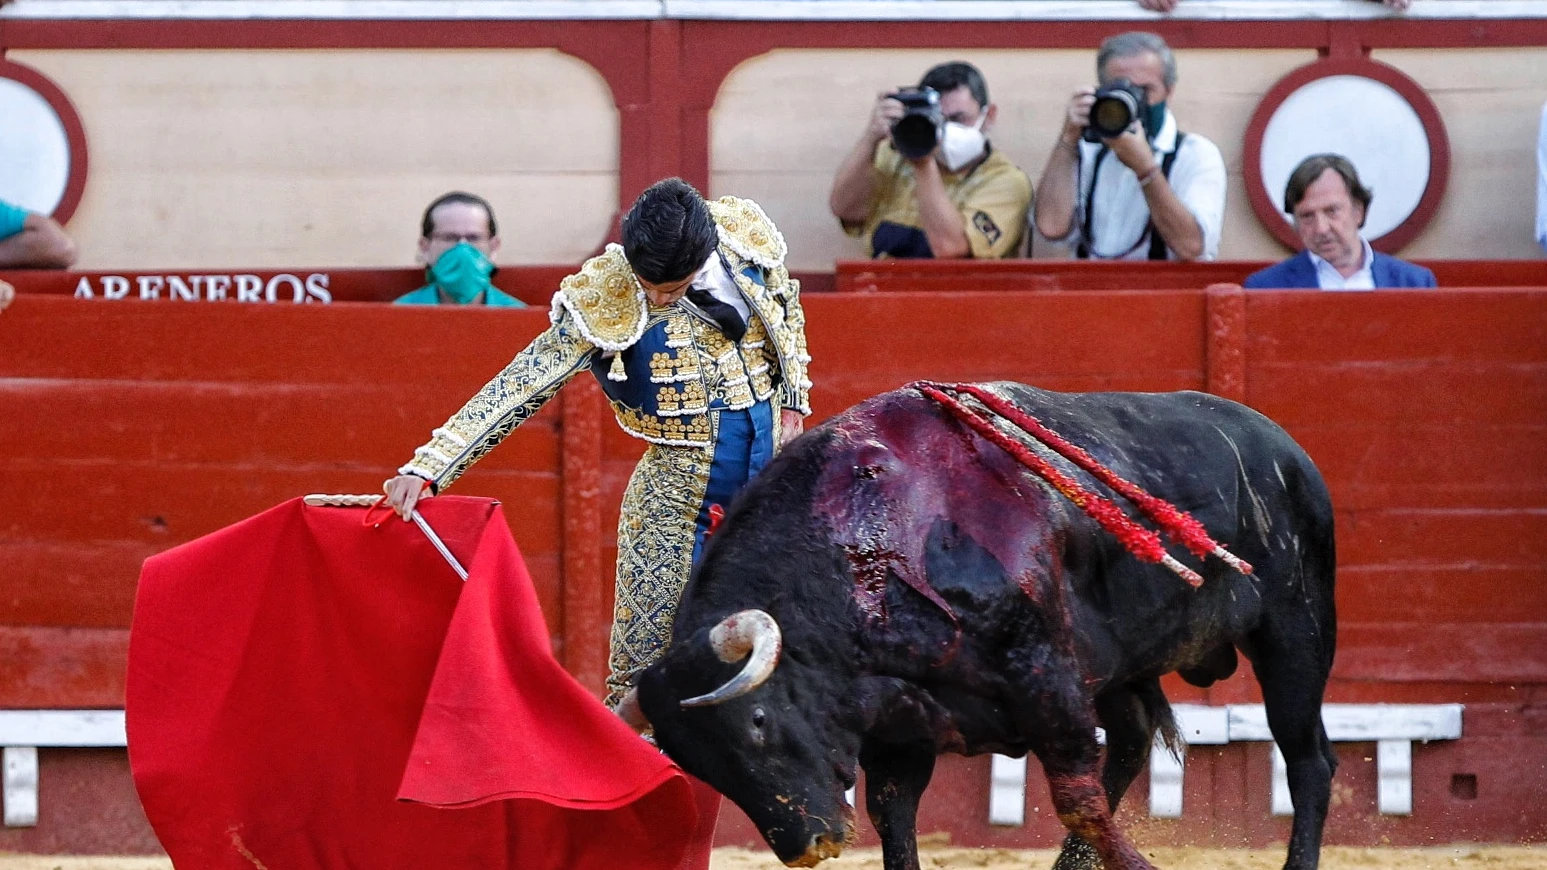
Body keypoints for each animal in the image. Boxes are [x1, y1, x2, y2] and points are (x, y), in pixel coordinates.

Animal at [634, 382, 1336, 866]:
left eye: (756, 721)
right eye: (700, 765)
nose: (809, 845)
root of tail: (1283, 445)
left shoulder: (1047, 681)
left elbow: (1077, 802)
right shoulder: (901, 723)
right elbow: (894, 817)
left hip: (1295, 635)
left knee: (1309, 761)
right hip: (1118, 666)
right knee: (1134, 740)